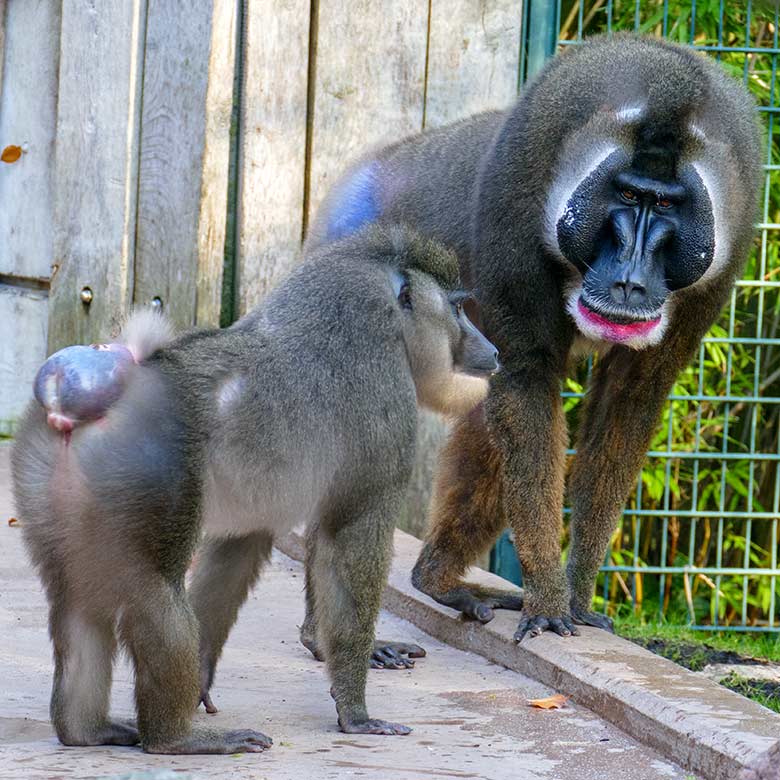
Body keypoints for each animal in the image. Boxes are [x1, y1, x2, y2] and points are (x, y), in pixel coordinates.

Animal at [10, 227, 500, 756]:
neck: (385, 318)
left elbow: (238, 550)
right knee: (156, 591)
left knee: (78, 598)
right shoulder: (385, 414)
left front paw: (202, 678)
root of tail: (91, 395)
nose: (491, 348)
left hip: (47, 484)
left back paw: (88, 730)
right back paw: (174, 738)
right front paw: (356, 712)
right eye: (457, 308)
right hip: (150, 475)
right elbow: (347, 541)